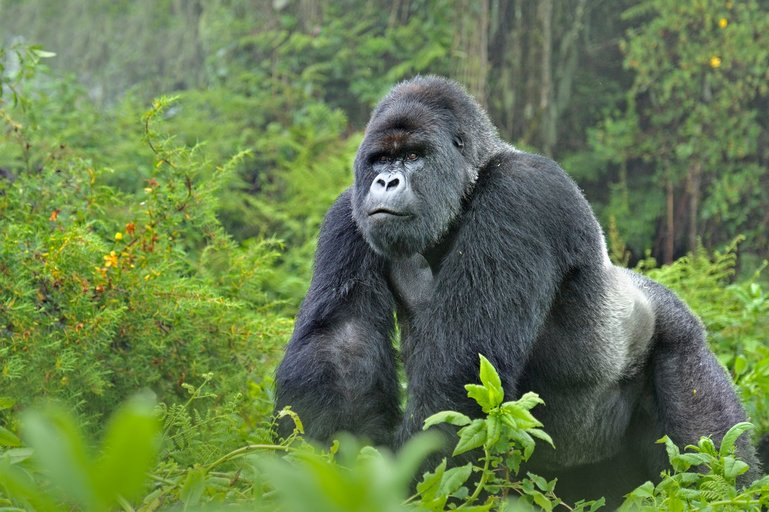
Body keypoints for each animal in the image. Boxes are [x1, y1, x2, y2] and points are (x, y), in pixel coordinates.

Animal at [272, 76, 760, 504]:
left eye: (412, 156)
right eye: (379, 160)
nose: (386, 182)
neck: (469, 186)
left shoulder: (520, 194)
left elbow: (460, 373)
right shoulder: (347, 211)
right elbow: (341, 347)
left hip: (682, 344)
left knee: (711, 453)